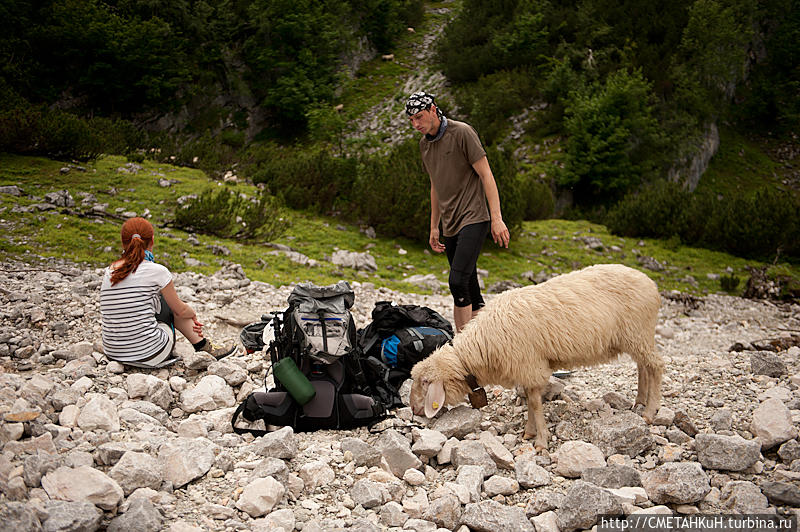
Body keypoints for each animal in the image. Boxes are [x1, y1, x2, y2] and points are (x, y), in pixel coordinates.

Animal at [410, 264, 664, 450]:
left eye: (425, 382)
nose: (413, 409)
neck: (481, 346)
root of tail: (649, 282)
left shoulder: (530, 365)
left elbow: (534, 402)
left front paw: (540, 440)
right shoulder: (525, 367)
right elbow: (529, 399)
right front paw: (529, 432)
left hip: (638, 331)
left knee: (656, 365)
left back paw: (650, 411)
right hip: (635, 337)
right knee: (642, 366)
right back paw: (639, 400)